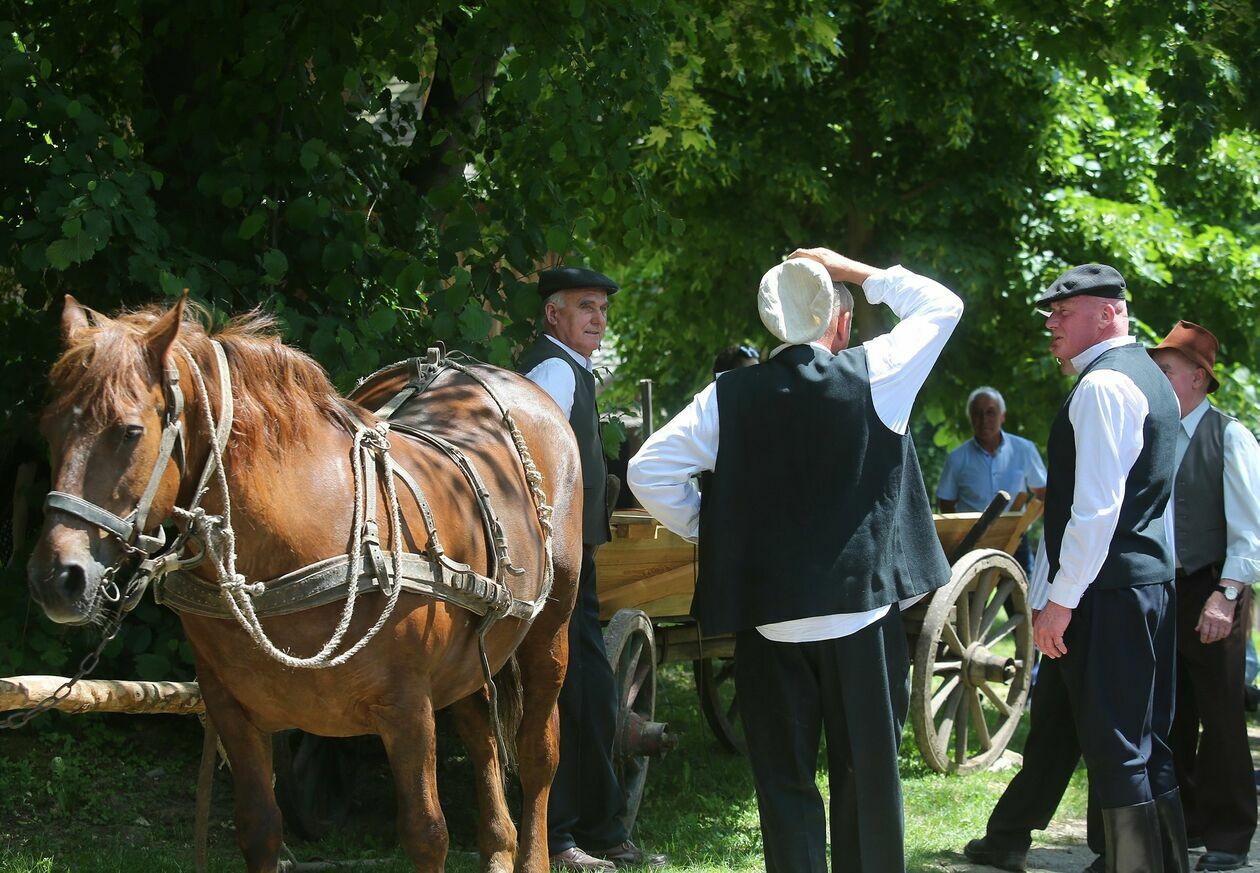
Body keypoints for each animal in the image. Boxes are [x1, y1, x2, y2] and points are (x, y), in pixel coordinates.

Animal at [24, 296, 584, 866]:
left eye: (130, 431)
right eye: (47, 427)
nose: (57, 577)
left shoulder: (408, 709)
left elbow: (427, 834)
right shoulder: (231, 708)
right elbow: (259, 828)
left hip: (549, 634)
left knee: (539, 754)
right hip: (471, 659)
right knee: (482, 737)